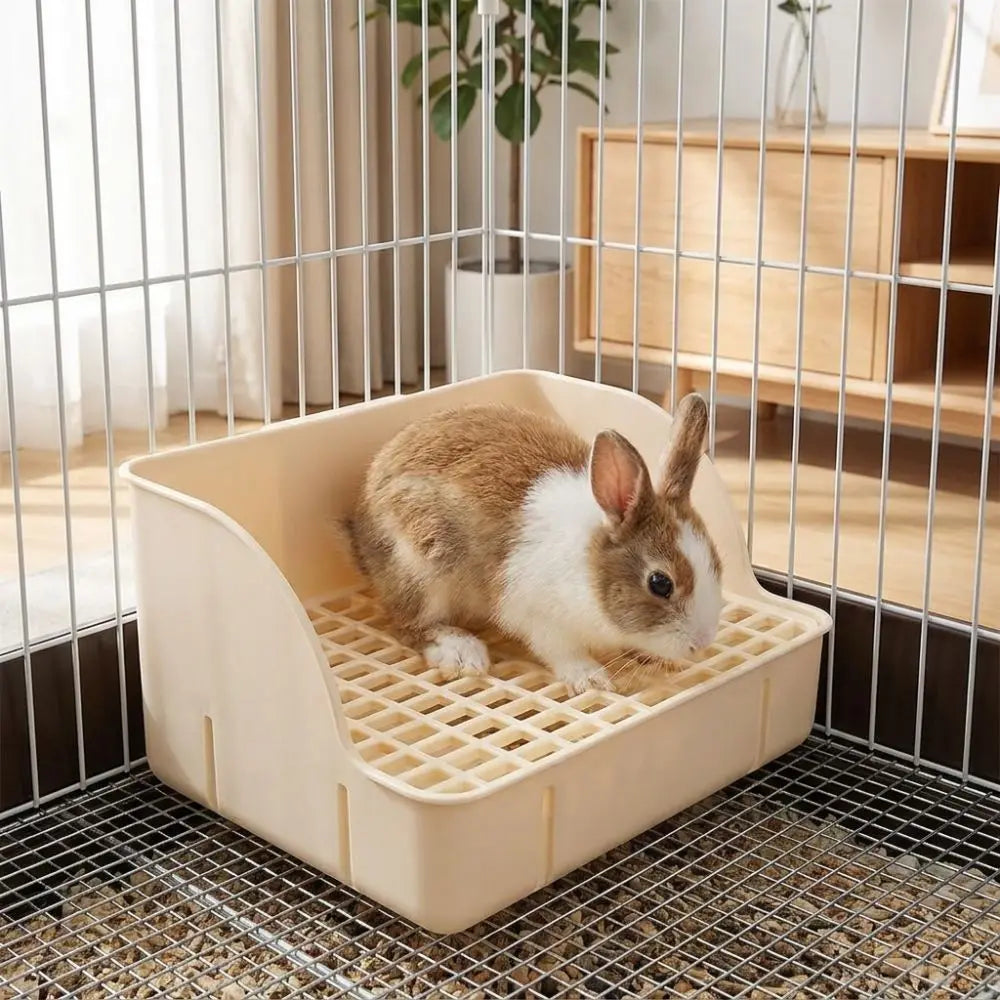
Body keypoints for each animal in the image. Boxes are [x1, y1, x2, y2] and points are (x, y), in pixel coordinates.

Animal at [345, 392, 724, 693]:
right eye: (660, 584)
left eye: (717, 564)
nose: (703, 642)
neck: (589, 567)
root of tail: (360, 527)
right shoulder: (539, 617)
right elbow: (561, 650)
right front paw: (592, 679)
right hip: (423, 567)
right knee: (408, 625)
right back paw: (463, 653)